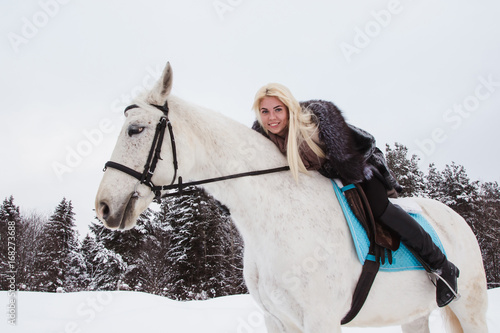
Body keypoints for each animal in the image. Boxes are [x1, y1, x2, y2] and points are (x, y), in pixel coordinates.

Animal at [94, 61, 488, 330]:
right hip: (414, 315)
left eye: (135, 129)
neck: (278, 217)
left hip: (470, 308)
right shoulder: (278, 319)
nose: (103, 206)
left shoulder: (321, 319)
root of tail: (455, 218)